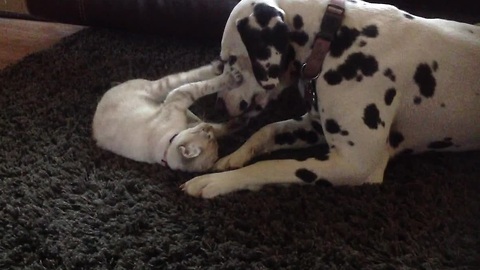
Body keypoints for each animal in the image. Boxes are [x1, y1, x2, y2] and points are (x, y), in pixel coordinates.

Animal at [181, 0, 480, 198]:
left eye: (232, 60)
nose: (219, 107)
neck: (334, 39)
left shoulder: (355, 162)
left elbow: (271, 165)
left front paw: (217, 181)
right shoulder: (315, 125)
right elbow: (267, 130)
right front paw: (235, 156)